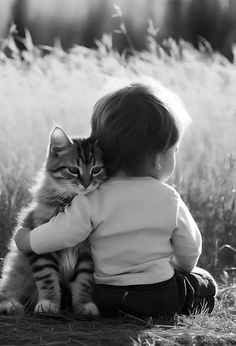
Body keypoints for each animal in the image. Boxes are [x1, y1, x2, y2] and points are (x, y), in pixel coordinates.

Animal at [0, 127, 106, 316]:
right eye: (73, 170)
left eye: (96, 170)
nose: (86, 184)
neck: (69, 202)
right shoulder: (40, 246)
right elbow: (48, 279)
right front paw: (48, 303)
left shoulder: (86, 252)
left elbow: (84, 280)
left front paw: (83, 305)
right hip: (17, 273)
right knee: (7, 291)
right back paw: (10, 305)